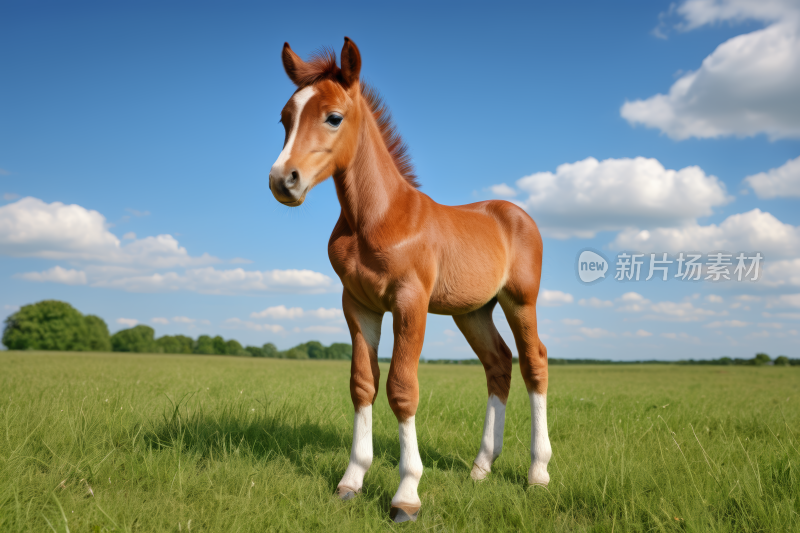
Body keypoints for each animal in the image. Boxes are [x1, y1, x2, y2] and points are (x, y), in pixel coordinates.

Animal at [268, 39, 552, 520]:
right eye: (285, 119)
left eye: (333, 117)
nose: (282, 180)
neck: (378, 217)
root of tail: (515, 213)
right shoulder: (357, 304)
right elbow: (363, 383)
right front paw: (351, 480)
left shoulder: (409, 302)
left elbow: (402, 388)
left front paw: (406, 494)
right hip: (473, 311)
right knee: (499, 362)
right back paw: (481, 467)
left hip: (520, 301)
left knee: (535, 362)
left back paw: (538, 472)